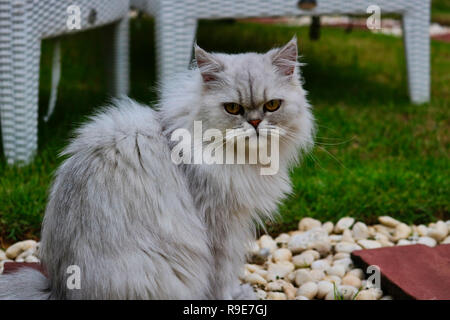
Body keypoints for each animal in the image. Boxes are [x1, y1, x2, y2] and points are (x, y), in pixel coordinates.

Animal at [0, 38, 312, 300]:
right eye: (233, 108)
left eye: (272, 105)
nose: (256, 123)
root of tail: (57, 290)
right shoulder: (221, 228)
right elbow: (221, 279)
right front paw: (234, 296)